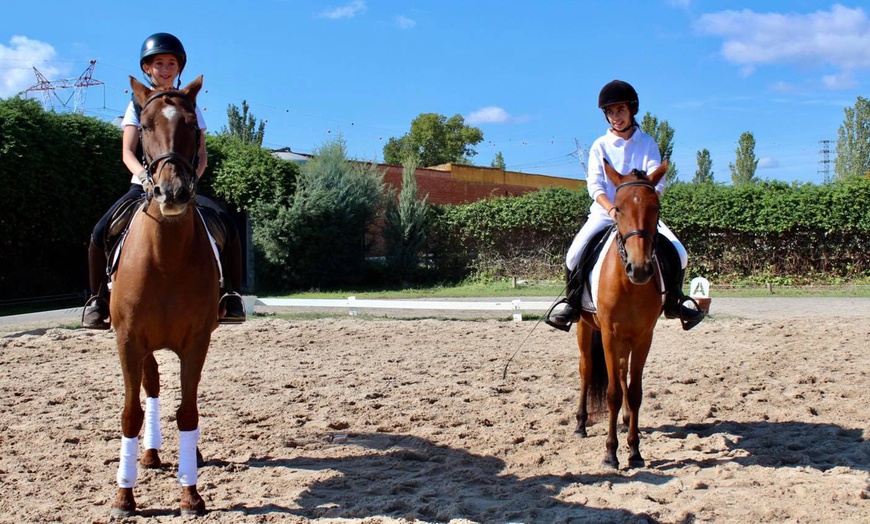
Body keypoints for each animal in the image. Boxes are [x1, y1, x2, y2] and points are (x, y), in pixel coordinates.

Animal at [576, 161, 672, 470]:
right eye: (617, 208)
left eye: (656, 207)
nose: (639, 269)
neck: (629, 284)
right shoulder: (608, 334)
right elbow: (613, 394)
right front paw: (610, 453)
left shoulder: (643, 336)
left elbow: (634, 391)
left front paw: (634, 450)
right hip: (585, 328)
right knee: (586, 369)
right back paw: (580, 424)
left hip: (626, 339)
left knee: (620, 372)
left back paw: (626, 420)